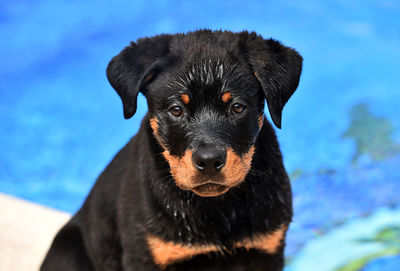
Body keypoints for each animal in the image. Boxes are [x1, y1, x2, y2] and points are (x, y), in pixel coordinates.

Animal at [41, 30, 304, 271]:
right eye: (176, 110)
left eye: (238, 107)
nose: (209, 161)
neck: (216, 207)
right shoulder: (146, 255)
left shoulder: (265, 249)